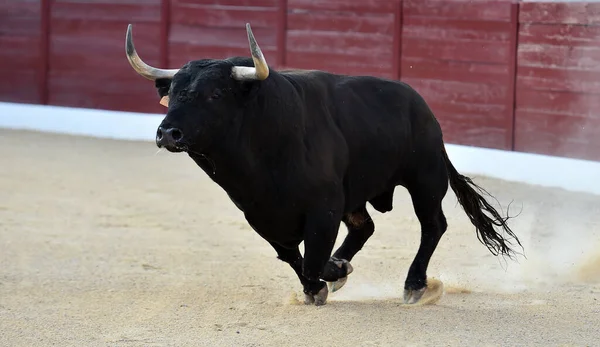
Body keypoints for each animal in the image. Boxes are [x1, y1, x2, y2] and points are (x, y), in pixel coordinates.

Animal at [125, 23, 520, 308]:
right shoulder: (259, 215)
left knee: (433, 225)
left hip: (425, 179)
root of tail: (422, 106)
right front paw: (323, 283)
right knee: (365, 226)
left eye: (216, 94)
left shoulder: (324, 207)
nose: (168, 132)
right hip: (360, 191)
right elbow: (292, 256)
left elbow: (314, 257)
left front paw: (332, 272)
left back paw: (414, 285)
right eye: (173, 93)